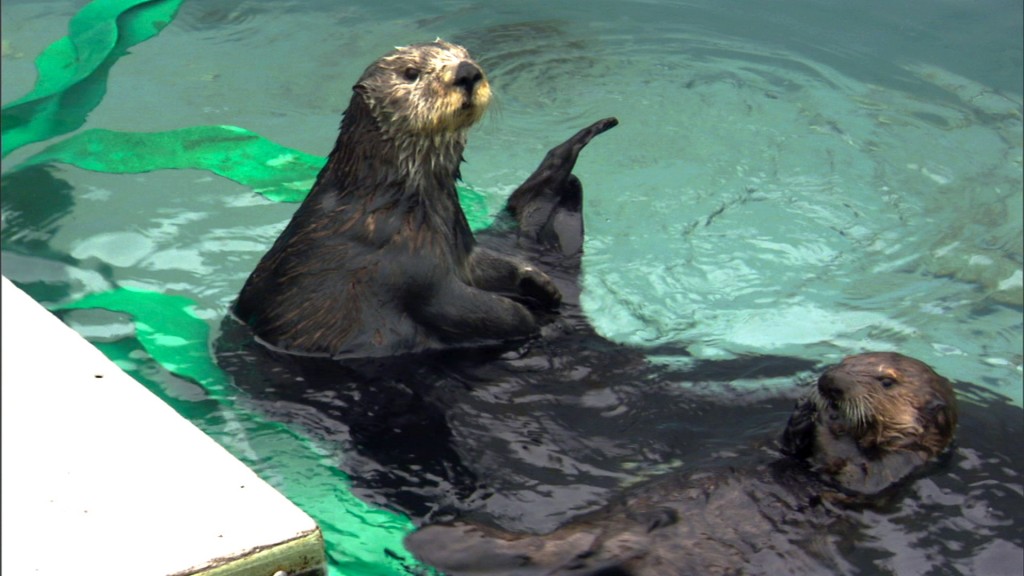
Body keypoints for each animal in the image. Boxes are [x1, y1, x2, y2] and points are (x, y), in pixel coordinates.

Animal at [233, 40, 615, 358]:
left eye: (465, 53)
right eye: (410, 73)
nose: (467, 72)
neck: (391, 207)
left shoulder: (459, 245)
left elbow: (486, 264)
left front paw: (540, 284)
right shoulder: (404, 267)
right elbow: (457, 305)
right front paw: (527, 318)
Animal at [405, 352, 959, 576]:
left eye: (885, 380)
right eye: (845, 360)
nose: (829, 381)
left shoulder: (897, 468)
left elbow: (855, 473)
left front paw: (822, 423)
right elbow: (787, 449)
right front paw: (801, 416)